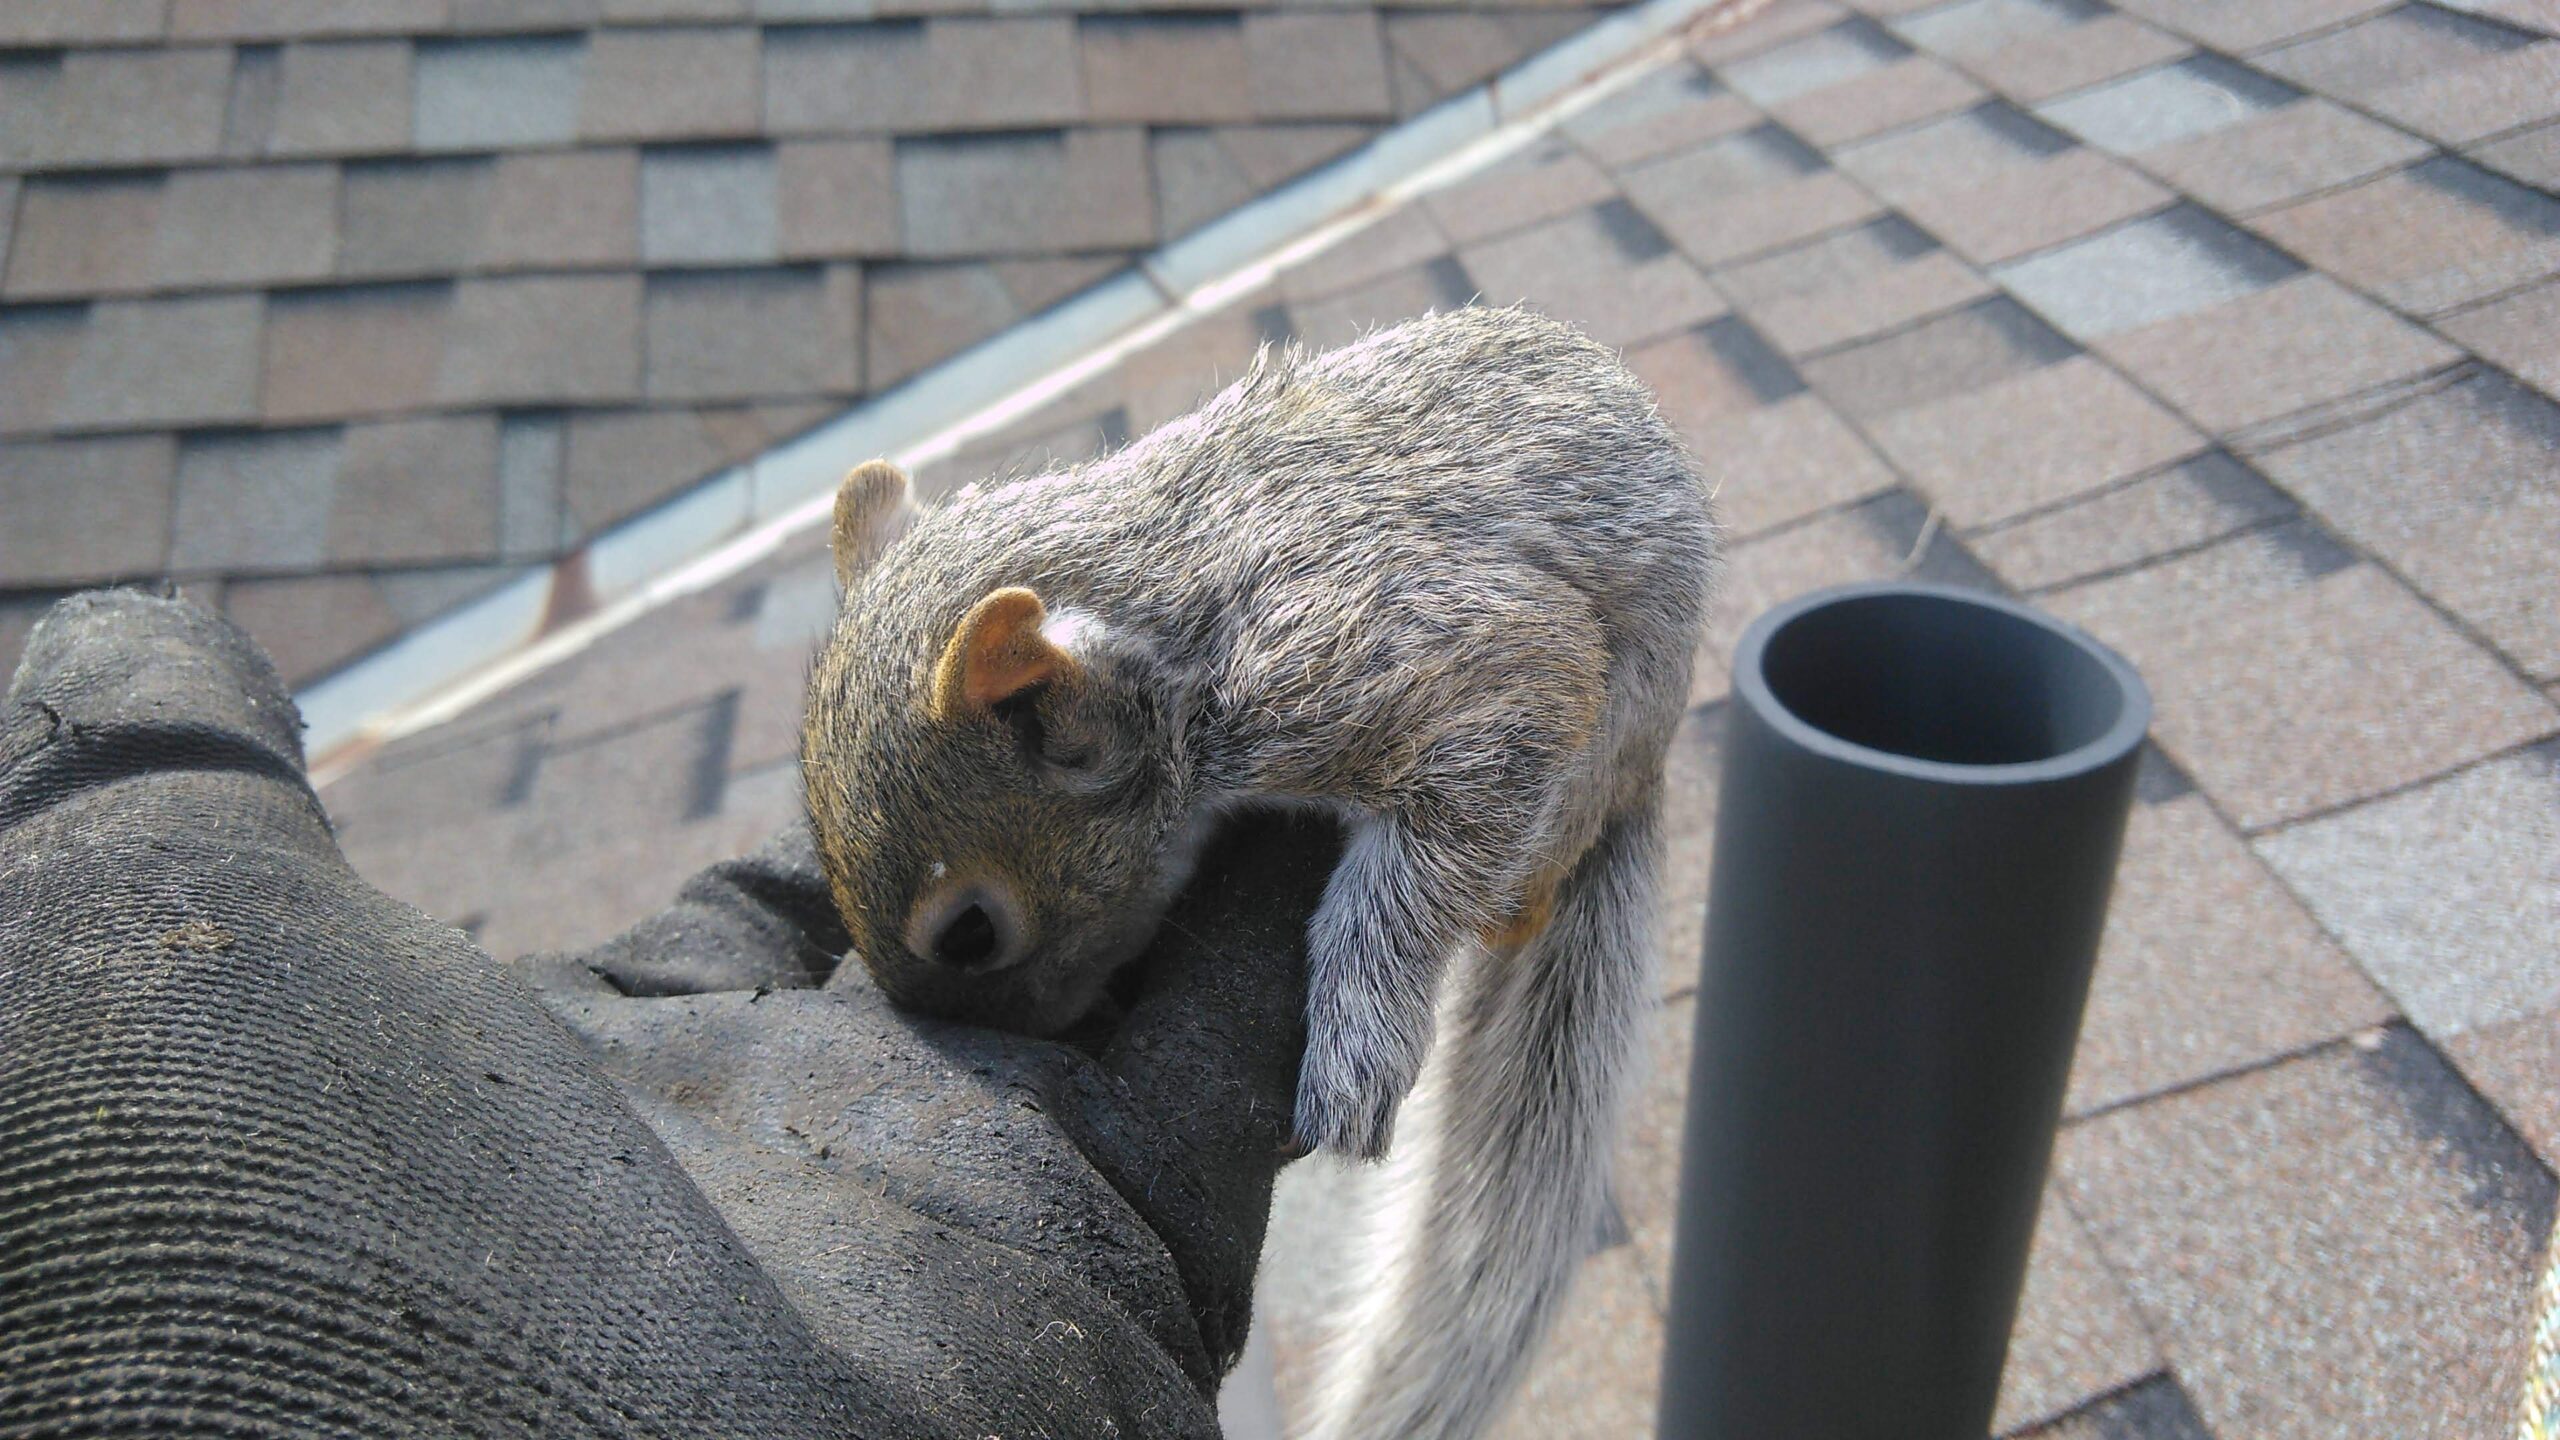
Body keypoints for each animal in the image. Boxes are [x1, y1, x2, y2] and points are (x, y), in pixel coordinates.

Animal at [801, 306, 1717, 1440]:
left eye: (971, 933)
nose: (1040, 1035)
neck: (1168, 619)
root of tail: (1648, 768)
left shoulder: (1397, 651)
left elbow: (1497, 738)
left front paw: (1360, 1036)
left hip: (1604, 751)